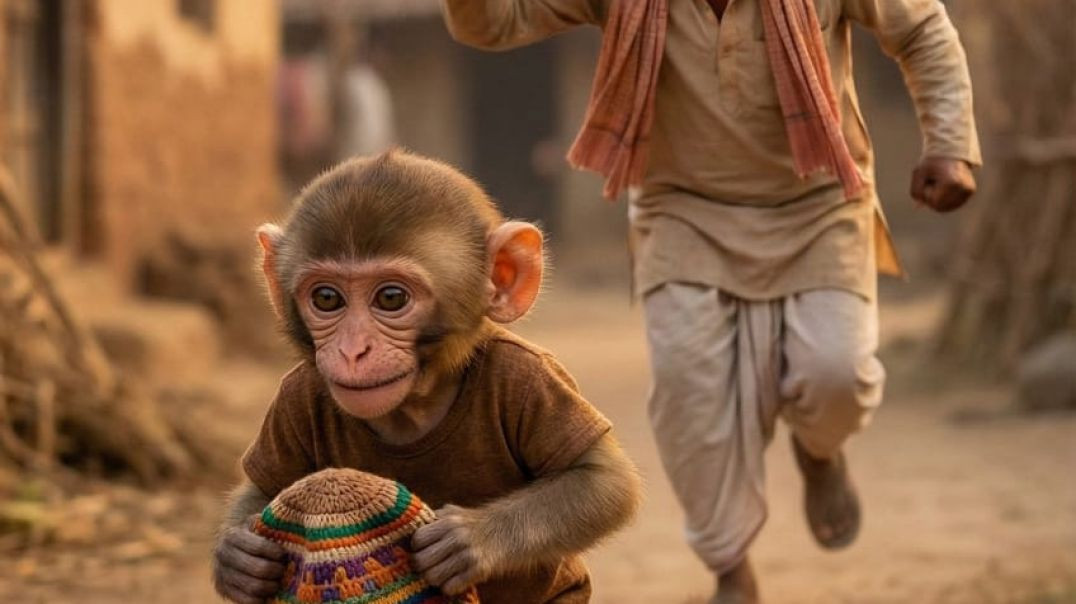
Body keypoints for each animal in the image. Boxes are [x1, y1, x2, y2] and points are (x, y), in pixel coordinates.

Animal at [212, 150, 642, 604]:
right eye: (327, 298)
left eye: (391, 298)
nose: (352, 349)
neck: (416, 404)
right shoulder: (292, 394)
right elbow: (263, 489)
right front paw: (237, 558)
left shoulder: (531, 378)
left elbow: (603, 481)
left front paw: (469, 540)